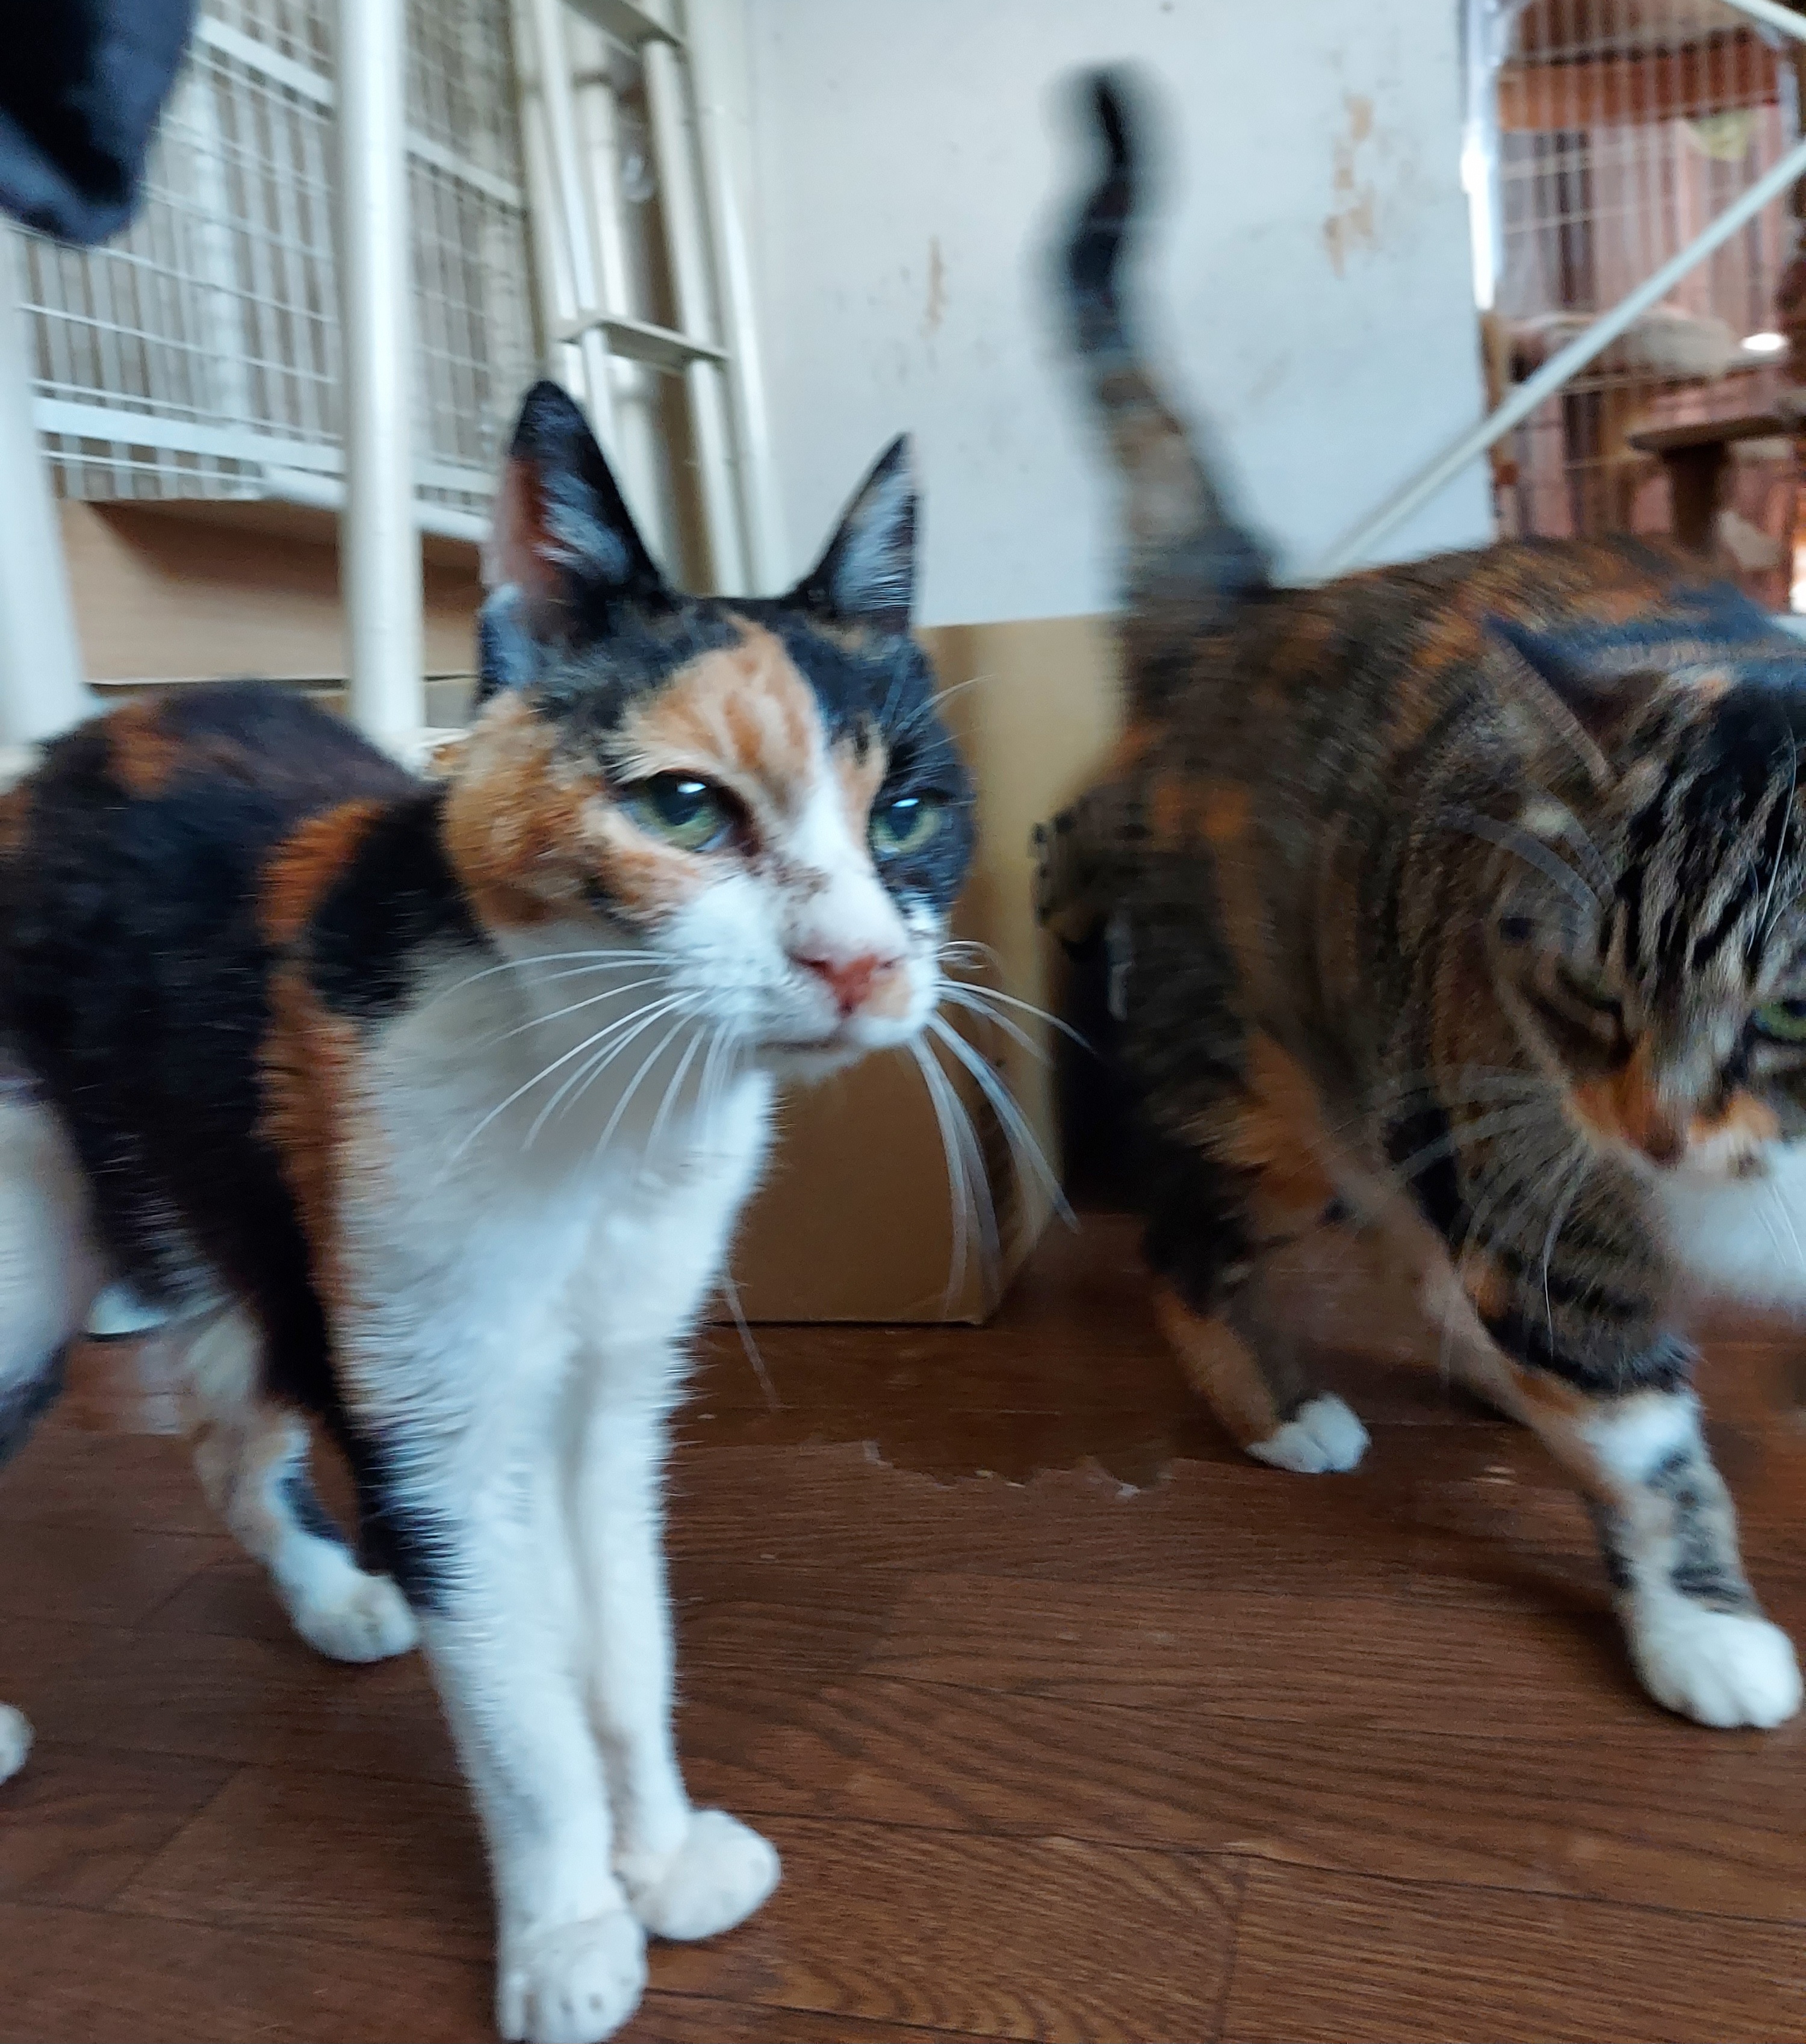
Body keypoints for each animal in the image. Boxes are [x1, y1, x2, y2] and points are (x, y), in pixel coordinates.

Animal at [0, 378, 972, 2044]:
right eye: (686, 808)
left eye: (905, 815)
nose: (858, 961)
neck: (604, 1109)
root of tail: (58, 750)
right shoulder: (439, 1414)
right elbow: (519, 1698)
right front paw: (571, 1927)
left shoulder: (613, 1390)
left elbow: (621, 1645)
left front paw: (660, 1856)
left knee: (219, 1415)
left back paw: (335, 1597)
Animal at [1039, 69, 1806, 1733]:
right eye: (1592, 994)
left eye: (1785, 1012)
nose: (1656, 1132)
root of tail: (1249, 613)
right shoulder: (1547, 1164)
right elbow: (1647, 1446)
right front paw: (1704, 1630)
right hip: (1280, 1088)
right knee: (1197, 1242)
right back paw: (1283, 1409)